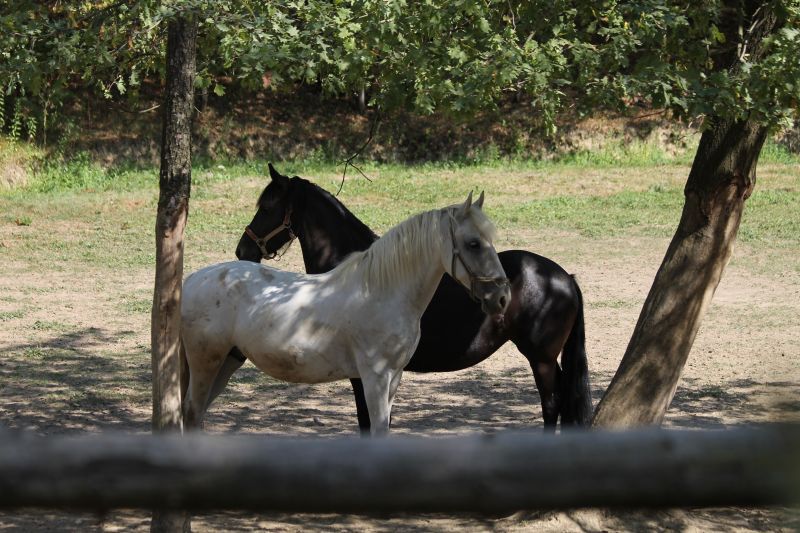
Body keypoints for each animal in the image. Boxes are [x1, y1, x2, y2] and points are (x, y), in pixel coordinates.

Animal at [181, 193, 510, 434]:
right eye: (473, 243)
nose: (502, 297)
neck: (382, 291)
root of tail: (192, 279)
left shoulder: (393, 378)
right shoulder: (374, 378)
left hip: (225, 362)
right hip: (206, 362)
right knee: (193, 413)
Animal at [231, 164, 592, 430]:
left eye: (267, 207)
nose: (243, 250)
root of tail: (565, 278)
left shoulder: (363, 376)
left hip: (541, 360)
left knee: (552, 404)